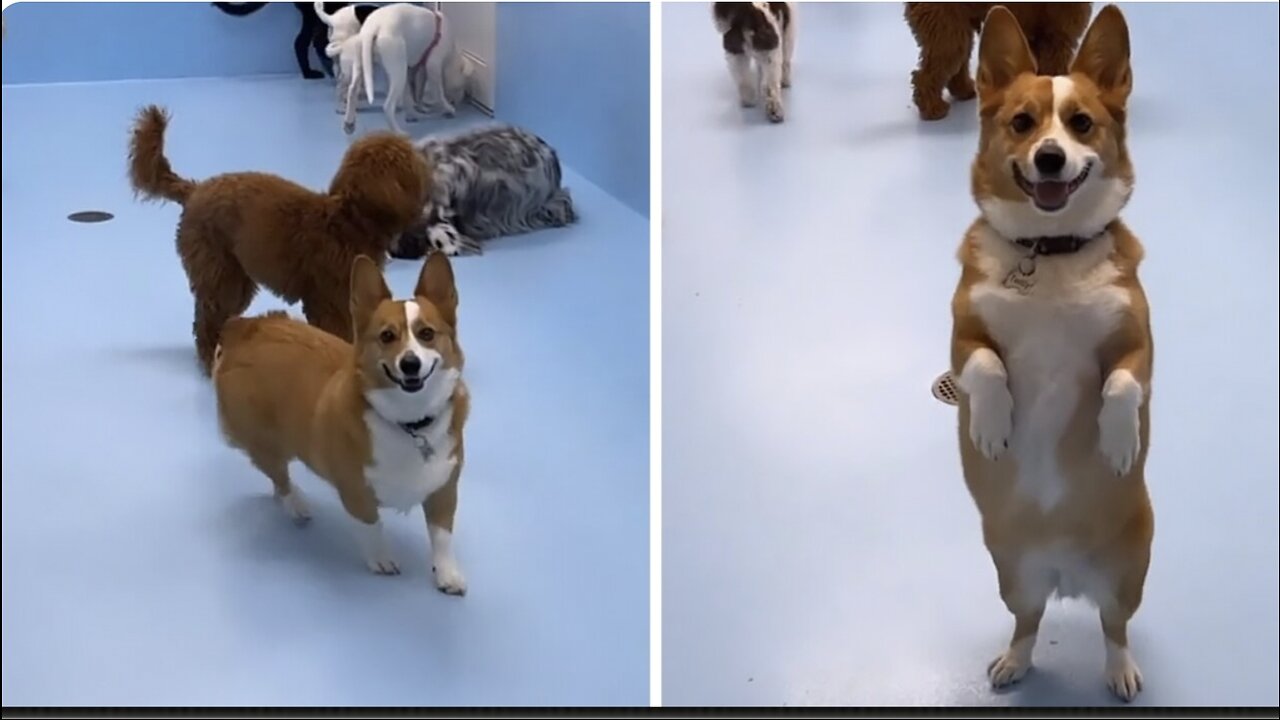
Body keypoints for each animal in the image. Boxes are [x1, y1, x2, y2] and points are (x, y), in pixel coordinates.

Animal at [215, 252, 471, 594]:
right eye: (387, 336)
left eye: (427, 334)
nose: (410, 364)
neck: (410, 423)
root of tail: (245, 326)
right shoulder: (356, 491)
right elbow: (372, 526)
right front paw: (381, 560)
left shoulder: (444, 488)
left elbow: (442, 537)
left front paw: (447, 574)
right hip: (263, 440)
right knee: (278, 474)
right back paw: (296, 504)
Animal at [952, 4, 1152, 702]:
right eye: (1022, 122)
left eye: (1081, 123)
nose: (1049, 157)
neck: (1051, 249)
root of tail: (1067, 576)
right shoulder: (960, 337)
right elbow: (986, 366)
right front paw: (991, 426)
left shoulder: (1138, 343)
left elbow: (1122, 384)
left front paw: (1118, 440)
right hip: (1014, 578)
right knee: (1028, 624)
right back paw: (1013, 662)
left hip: (1127, 576)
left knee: (1115, 630)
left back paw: (1120, 670)